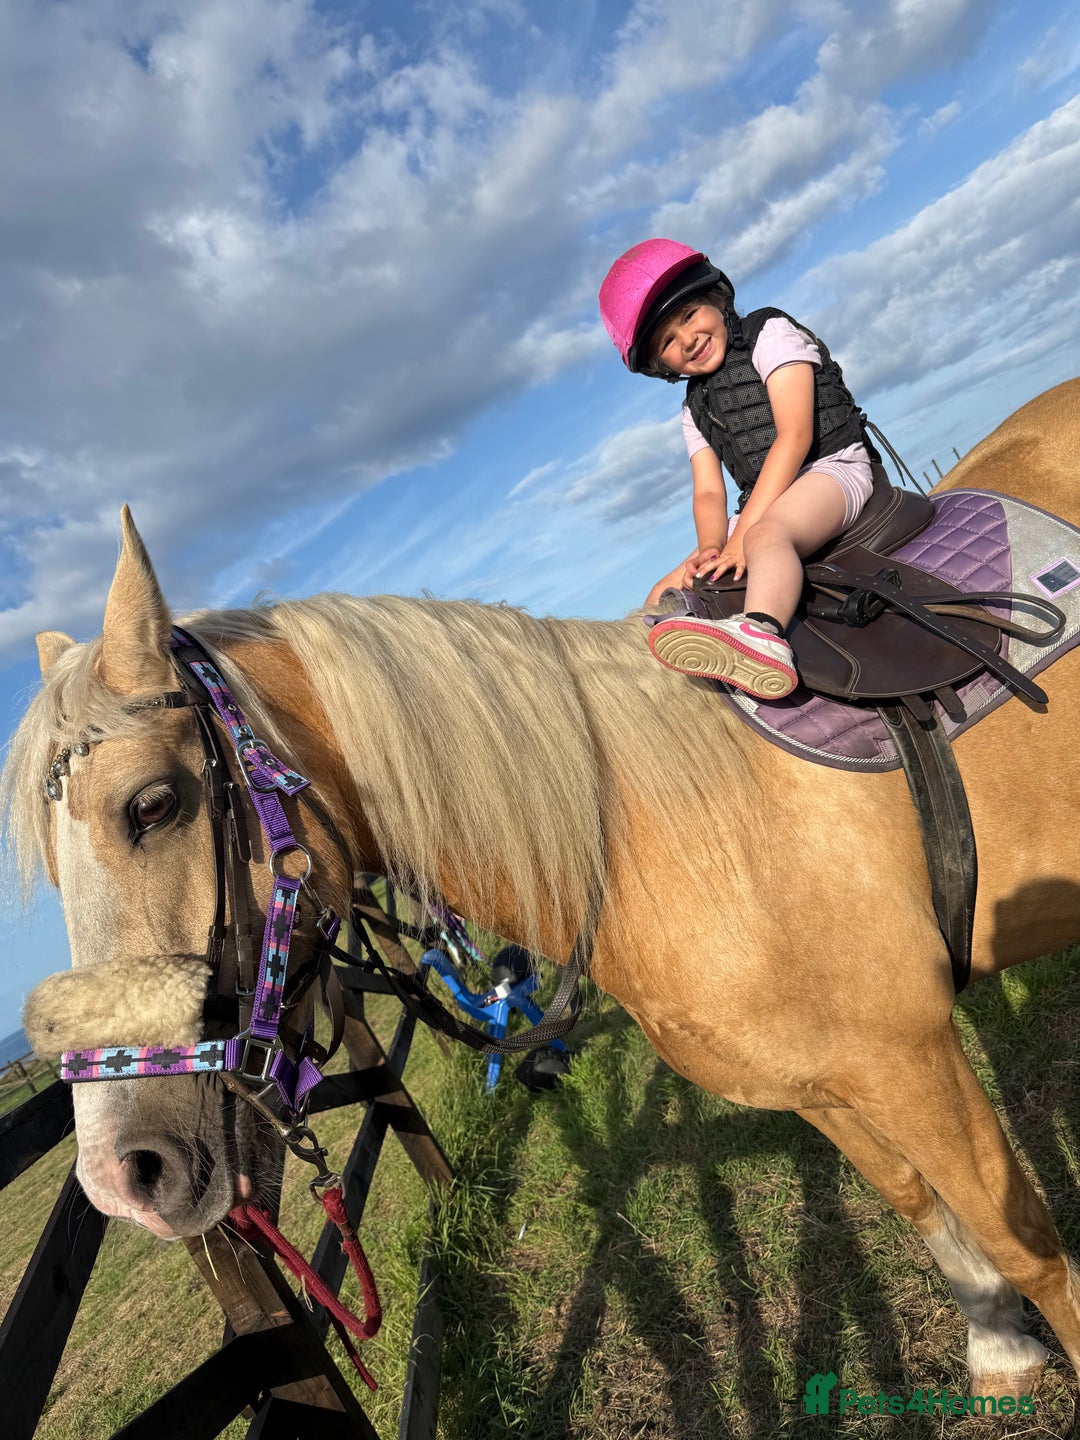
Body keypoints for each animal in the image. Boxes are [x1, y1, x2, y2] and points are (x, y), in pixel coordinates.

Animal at [3, 379, 1080, 1401]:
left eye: (153, 803)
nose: (121, 1178)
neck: (654, 825)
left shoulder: (905, 1056)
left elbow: (1025, 1240)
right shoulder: (832, 1084)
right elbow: (923, 1206)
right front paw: (999, 1345)